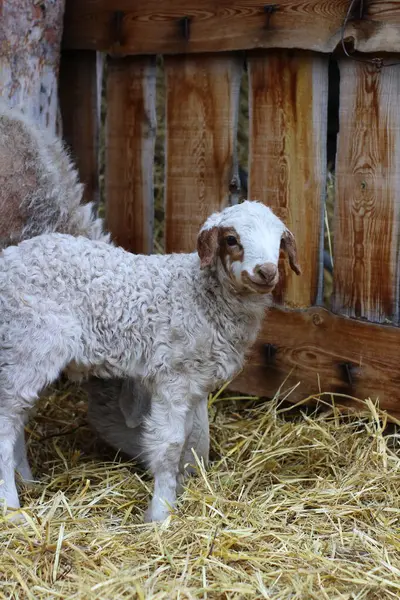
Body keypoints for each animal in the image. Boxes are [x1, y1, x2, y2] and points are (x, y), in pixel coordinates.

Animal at [0, 200, 300, 520]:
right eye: (232, 239)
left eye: (280, 241)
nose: (266, 271)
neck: (200, 295)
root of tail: (8, 258)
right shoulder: (172, 377)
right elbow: (170, 445)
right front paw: (161, 512)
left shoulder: (194, 382)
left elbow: (191, 437)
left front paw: (180, 489)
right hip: (29, 345)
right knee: (5, 424)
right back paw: (11, 507)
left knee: (17, 419)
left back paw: (26, 481)